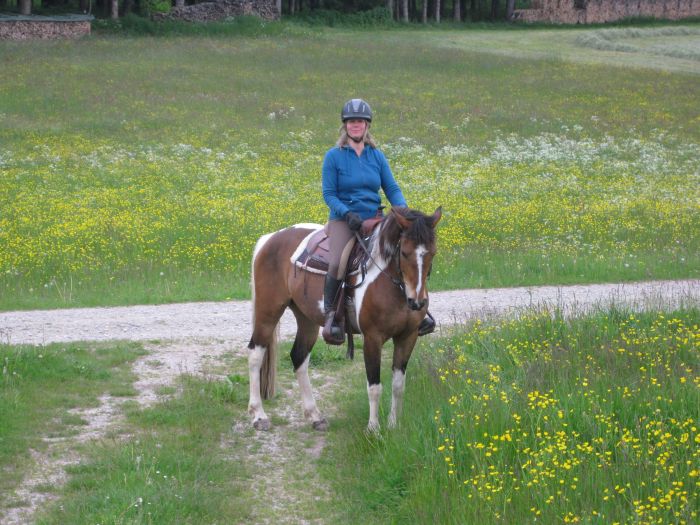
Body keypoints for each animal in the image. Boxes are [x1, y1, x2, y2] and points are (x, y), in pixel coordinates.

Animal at [247, 205, 442, 430]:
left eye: (432, 253)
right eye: (404, 252)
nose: (417, 302)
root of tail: (269, 239)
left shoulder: (407, 336)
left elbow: (398, 385)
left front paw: (394, 425)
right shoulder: (372, 338)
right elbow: (374, 386)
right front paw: (373, 429)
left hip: (307, 319)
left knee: (299, 358)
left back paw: (314, 416)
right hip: (268, 312)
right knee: (255, 355)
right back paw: (259, 415)